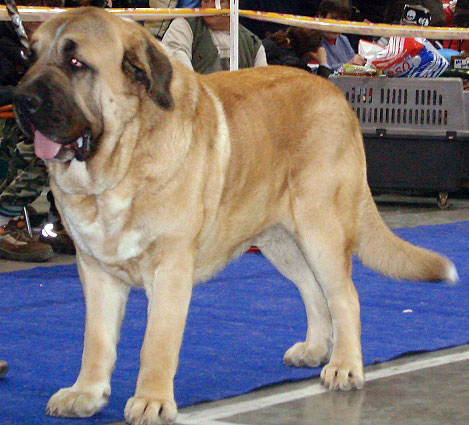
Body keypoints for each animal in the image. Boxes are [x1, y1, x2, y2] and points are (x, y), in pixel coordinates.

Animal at [13, 6, 458, 424]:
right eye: (29, 57)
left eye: (76, 63)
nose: (21, 100)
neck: (118, 165)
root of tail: (337, 98)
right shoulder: (96, 270)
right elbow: (97, 341)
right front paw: (86, 393)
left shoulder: (170, 269)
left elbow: (156, 343)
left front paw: (152, 400)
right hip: (282, 241)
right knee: (313, 291)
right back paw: (315, 349)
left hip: (321, 230)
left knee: (345, 297)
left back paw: (345, 366)